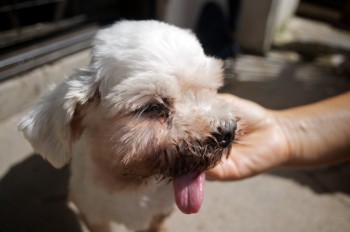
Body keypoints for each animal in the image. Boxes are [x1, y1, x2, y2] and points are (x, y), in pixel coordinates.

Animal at [19, 20, 238, 231]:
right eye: (153, 107)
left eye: (211, 90)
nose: (228, 132)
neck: (131, 179)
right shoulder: (91, 213)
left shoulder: (162, 209)